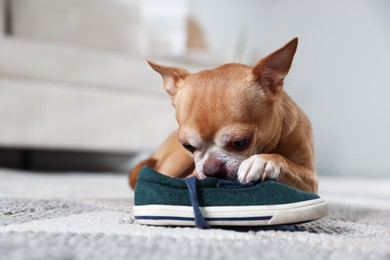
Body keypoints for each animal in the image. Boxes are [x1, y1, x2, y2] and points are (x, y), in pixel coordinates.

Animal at [129, 38, 318, 193]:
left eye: (241, 142)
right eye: (188, 146)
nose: (211, 170)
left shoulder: (311, 178)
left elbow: (286, 162)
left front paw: (264, 161)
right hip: (175, 161)